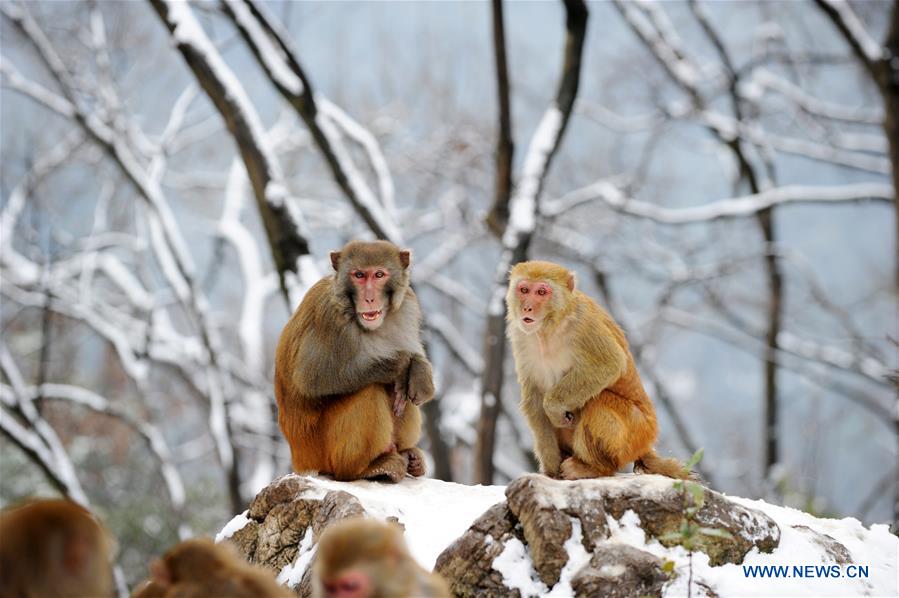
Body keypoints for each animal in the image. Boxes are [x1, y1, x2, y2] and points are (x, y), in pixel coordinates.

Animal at [276, 239, 438, 482]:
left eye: (379, 274)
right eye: (359, 275)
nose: (369, 298)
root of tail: (300, 460)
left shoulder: (407, 306)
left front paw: (420, 370)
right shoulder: (330, 319)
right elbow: (311, 379)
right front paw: (399, 364)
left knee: (402, 394)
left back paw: (410, 456)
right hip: (321, 451)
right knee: (369, 390)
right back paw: (366, 468)